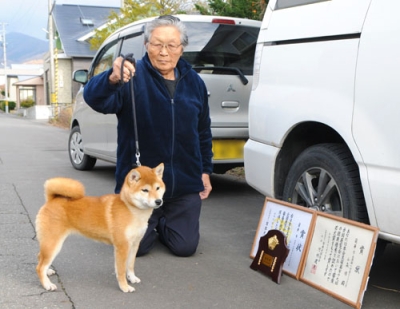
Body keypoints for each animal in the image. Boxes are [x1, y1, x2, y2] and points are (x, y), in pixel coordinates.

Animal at [35, 164, 164, 292]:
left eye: (157, 188)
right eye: (145, 190)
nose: (158, 201)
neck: (131, 209)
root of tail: (52, 199)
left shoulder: (135, 244)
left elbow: (130, 265)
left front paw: (132, 278)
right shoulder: (122, 246)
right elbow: (121, 270)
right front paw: (124, 286)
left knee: (40, 257)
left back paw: (48, 272)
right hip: (53, 243)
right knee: (40, 266)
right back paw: (47, 284)